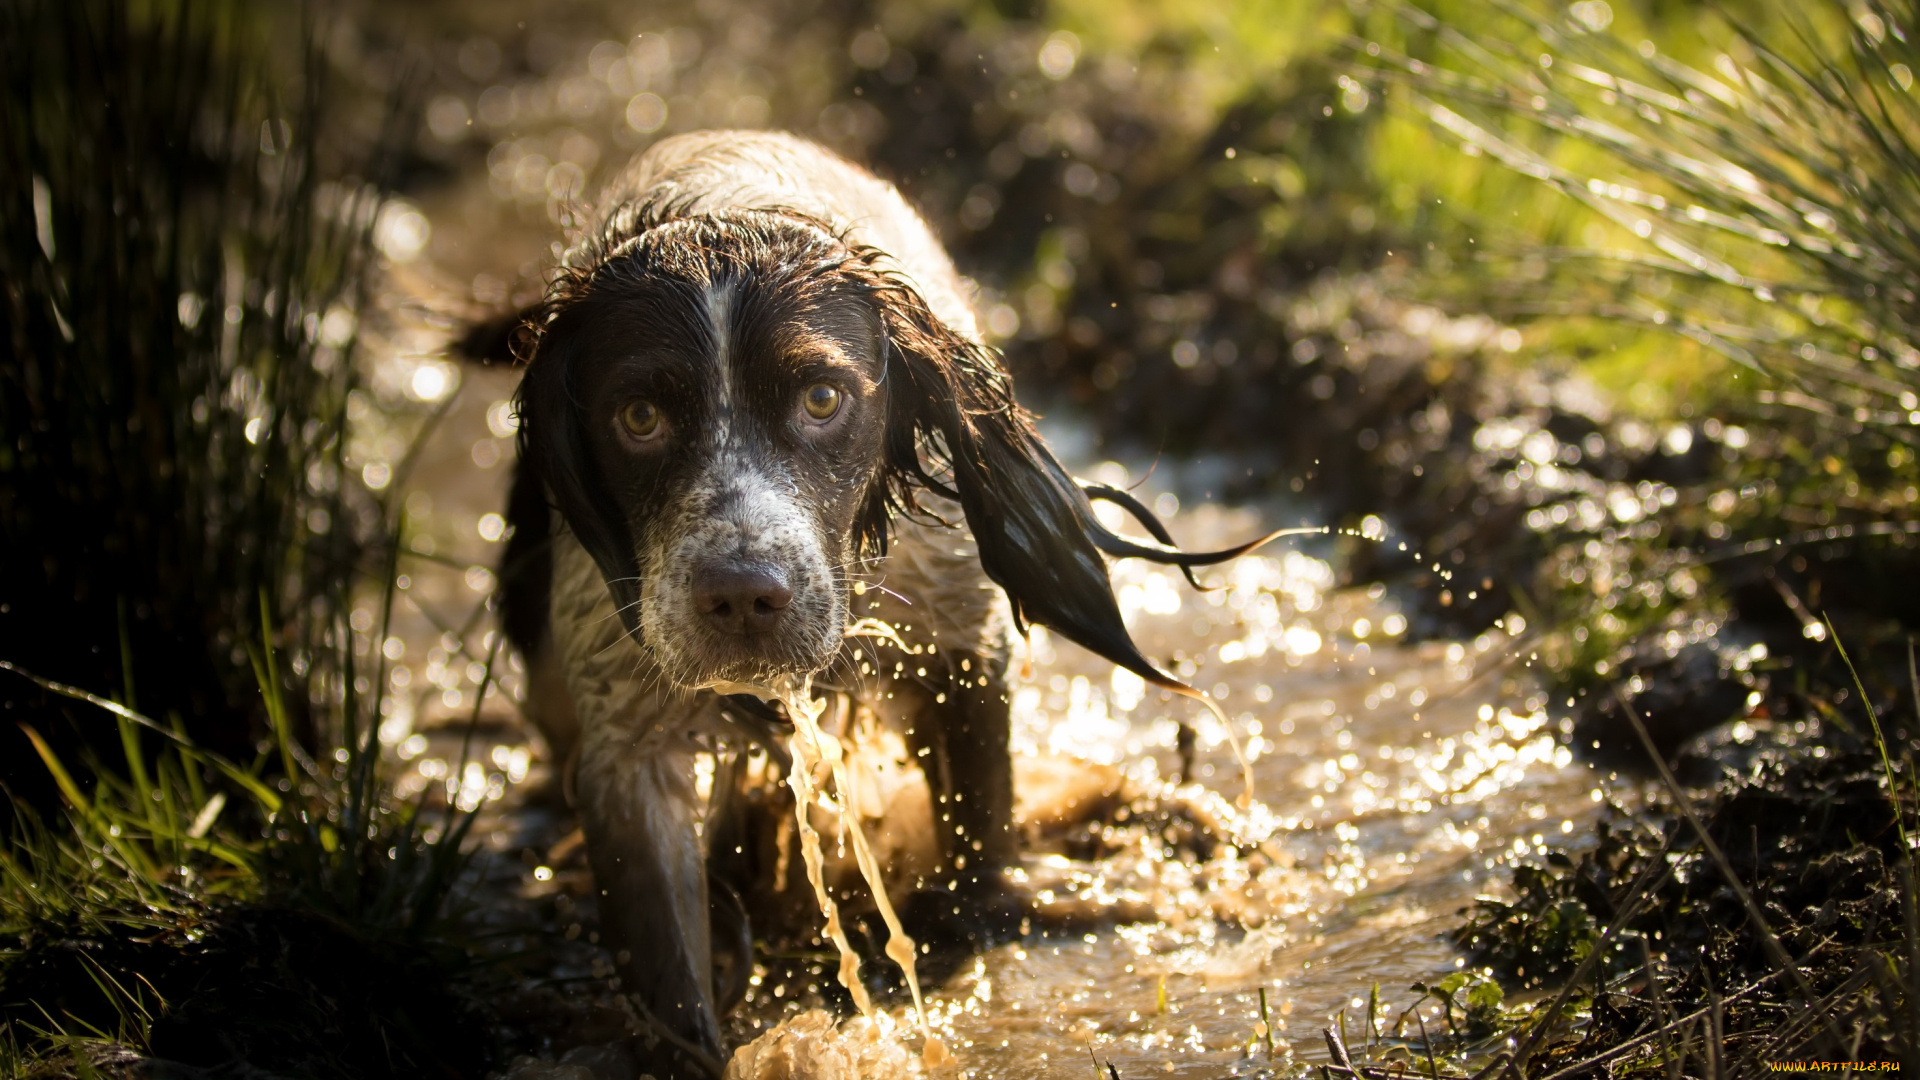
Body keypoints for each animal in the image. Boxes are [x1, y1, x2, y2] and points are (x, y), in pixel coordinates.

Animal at [480, 130, 1259, 1068]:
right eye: (638, 418)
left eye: (823, 398)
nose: (742, 596)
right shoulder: (627, 740)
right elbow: (670, 975)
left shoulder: (961, 640)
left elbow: (979, 847)